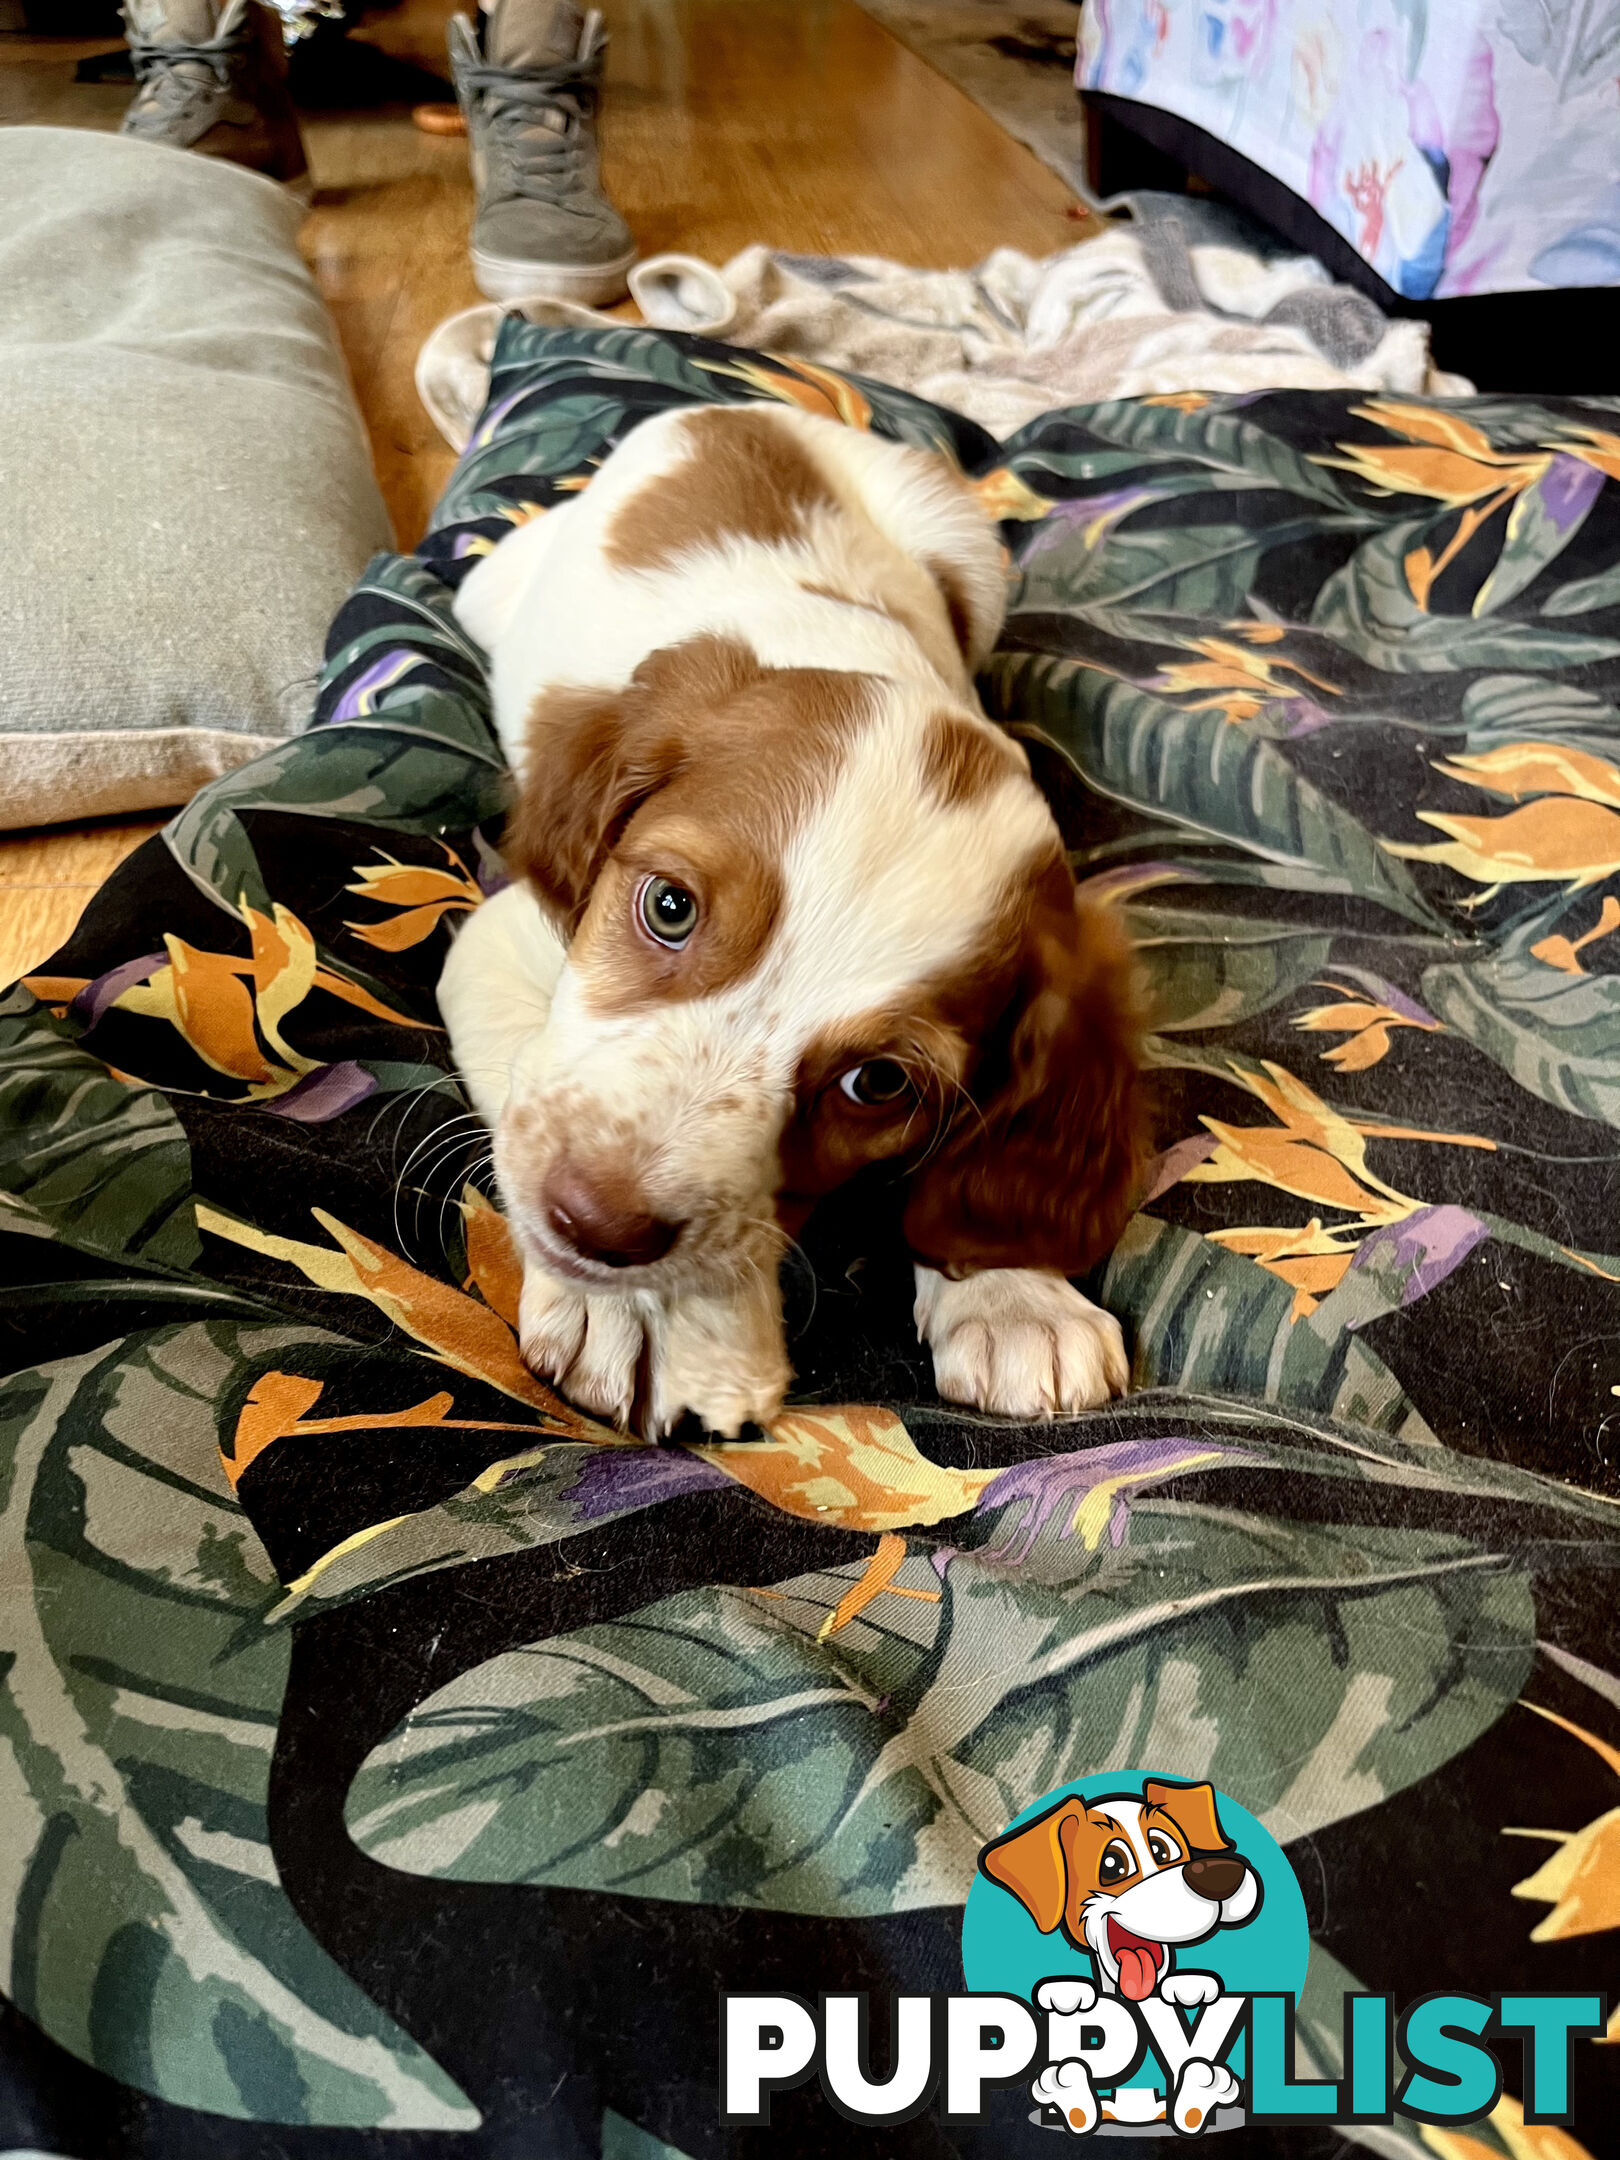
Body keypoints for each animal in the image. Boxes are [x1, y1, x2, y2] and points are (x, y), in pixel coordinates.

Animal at [432, 408, 1140, 1451]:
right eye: (669, 907)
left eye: (878, 1084)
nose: (596, 1227)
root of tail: (738, 406)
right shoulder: (503, 934)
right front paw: (641, 1314)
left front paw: (1016, 1297)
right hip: (494, 586)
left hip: (971, 555)